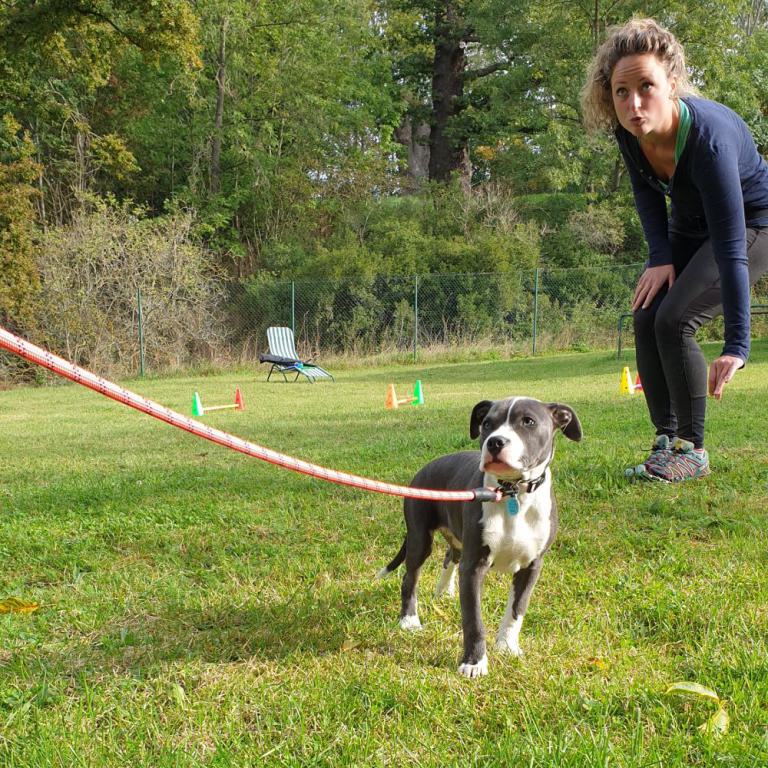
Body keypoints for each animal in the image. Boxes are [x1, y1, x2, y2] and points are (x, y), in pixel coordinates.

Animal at [378, 396, 584, 680]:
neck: (512, 493)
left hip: (455, 537)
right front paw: (474, 662)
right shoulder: (474, 566)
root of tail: (424, 469)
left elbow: (516, 610)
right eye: (487, 423)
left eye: (528, 421)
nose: (495, 442)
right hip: (420, 538)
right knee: (411, 578)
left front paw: (507, 645)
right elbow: (473, 620)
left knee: (450, 555)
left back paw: (444, 591)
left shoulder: (532, 566)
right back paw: (409, 619)